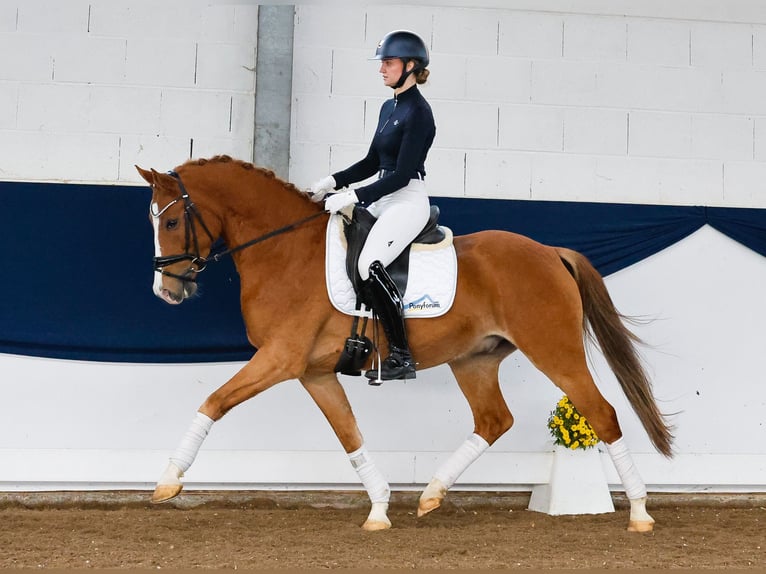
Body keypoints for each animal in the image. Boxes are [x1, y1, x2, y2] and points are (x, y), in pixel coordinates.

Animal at [136, 154, 672, 536]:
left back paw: (640, 514)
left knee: (602, 414)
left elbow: (214, 401)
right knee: (494, 420)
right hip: (474, 360)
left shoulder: (280, 359)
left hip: (554, 351)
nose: (166, 292)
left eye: (171, 223)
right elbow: (349, 435)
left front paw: (167, 481)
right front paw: (378, 508)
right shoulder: (313, 372)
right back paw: (431, 494)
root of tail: (550, 252)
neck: (285, 250)